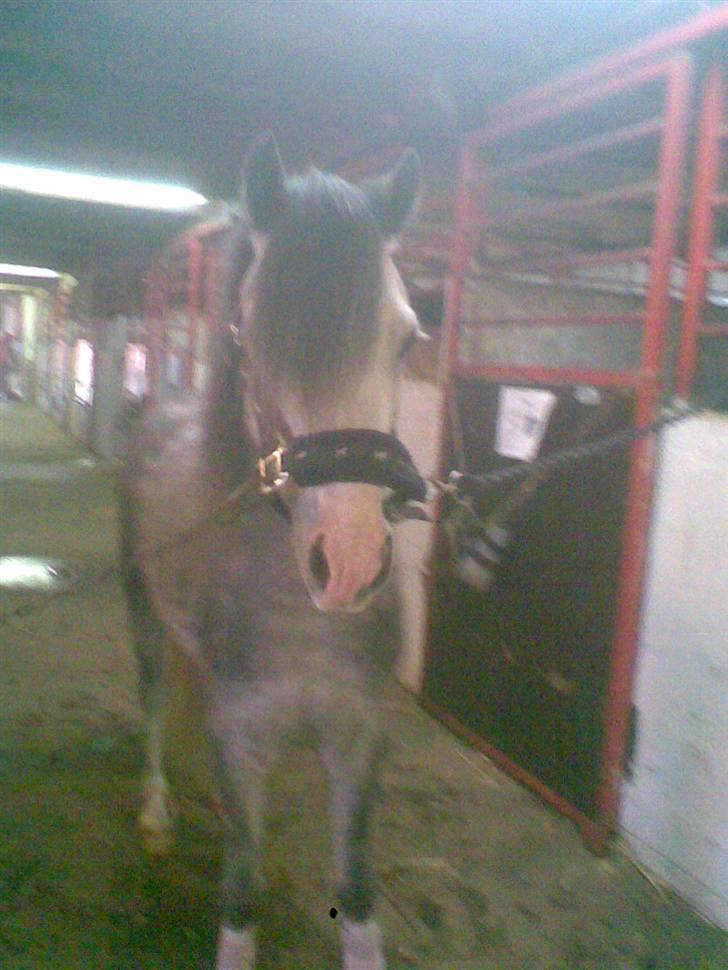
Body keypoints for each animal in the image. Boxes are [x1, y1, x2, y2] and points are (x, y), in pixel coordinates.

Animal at [119, 134, 424, 970]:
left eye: (407, 338)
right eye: (257, 335)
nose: (349, 564)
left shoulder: (361, 734)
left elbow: (357, 898)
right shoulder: (242, 734)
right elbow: (241, 895)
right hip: (142, 613)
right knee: (153, 701)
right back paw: (156, 810)